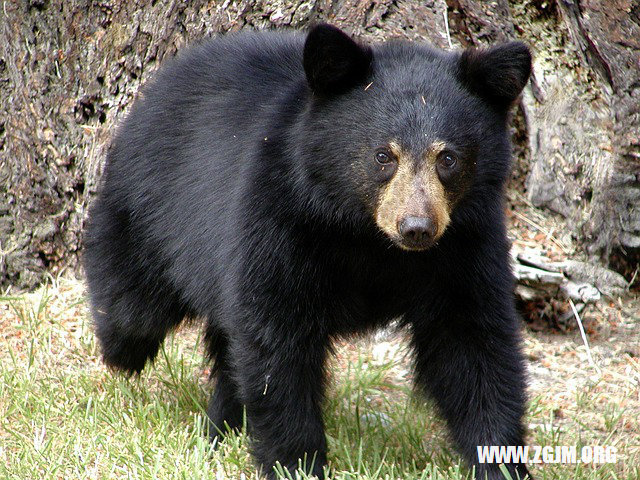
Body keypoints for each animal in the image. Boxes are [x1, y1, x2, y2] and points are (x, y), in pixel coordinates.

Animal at [86, 24, 536, 480]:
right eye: (383, 155)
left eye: (448, 158)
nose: (416, 228)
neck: (369, 237)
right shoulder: (282, 220)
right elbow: (278, 341)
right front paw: (297, 462)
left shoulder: (464, 244)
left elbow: (473, 343)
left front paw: (501, 462)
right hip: (153, 207)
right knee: (134, 304)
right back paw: (123, 354)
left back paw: (221, 429)